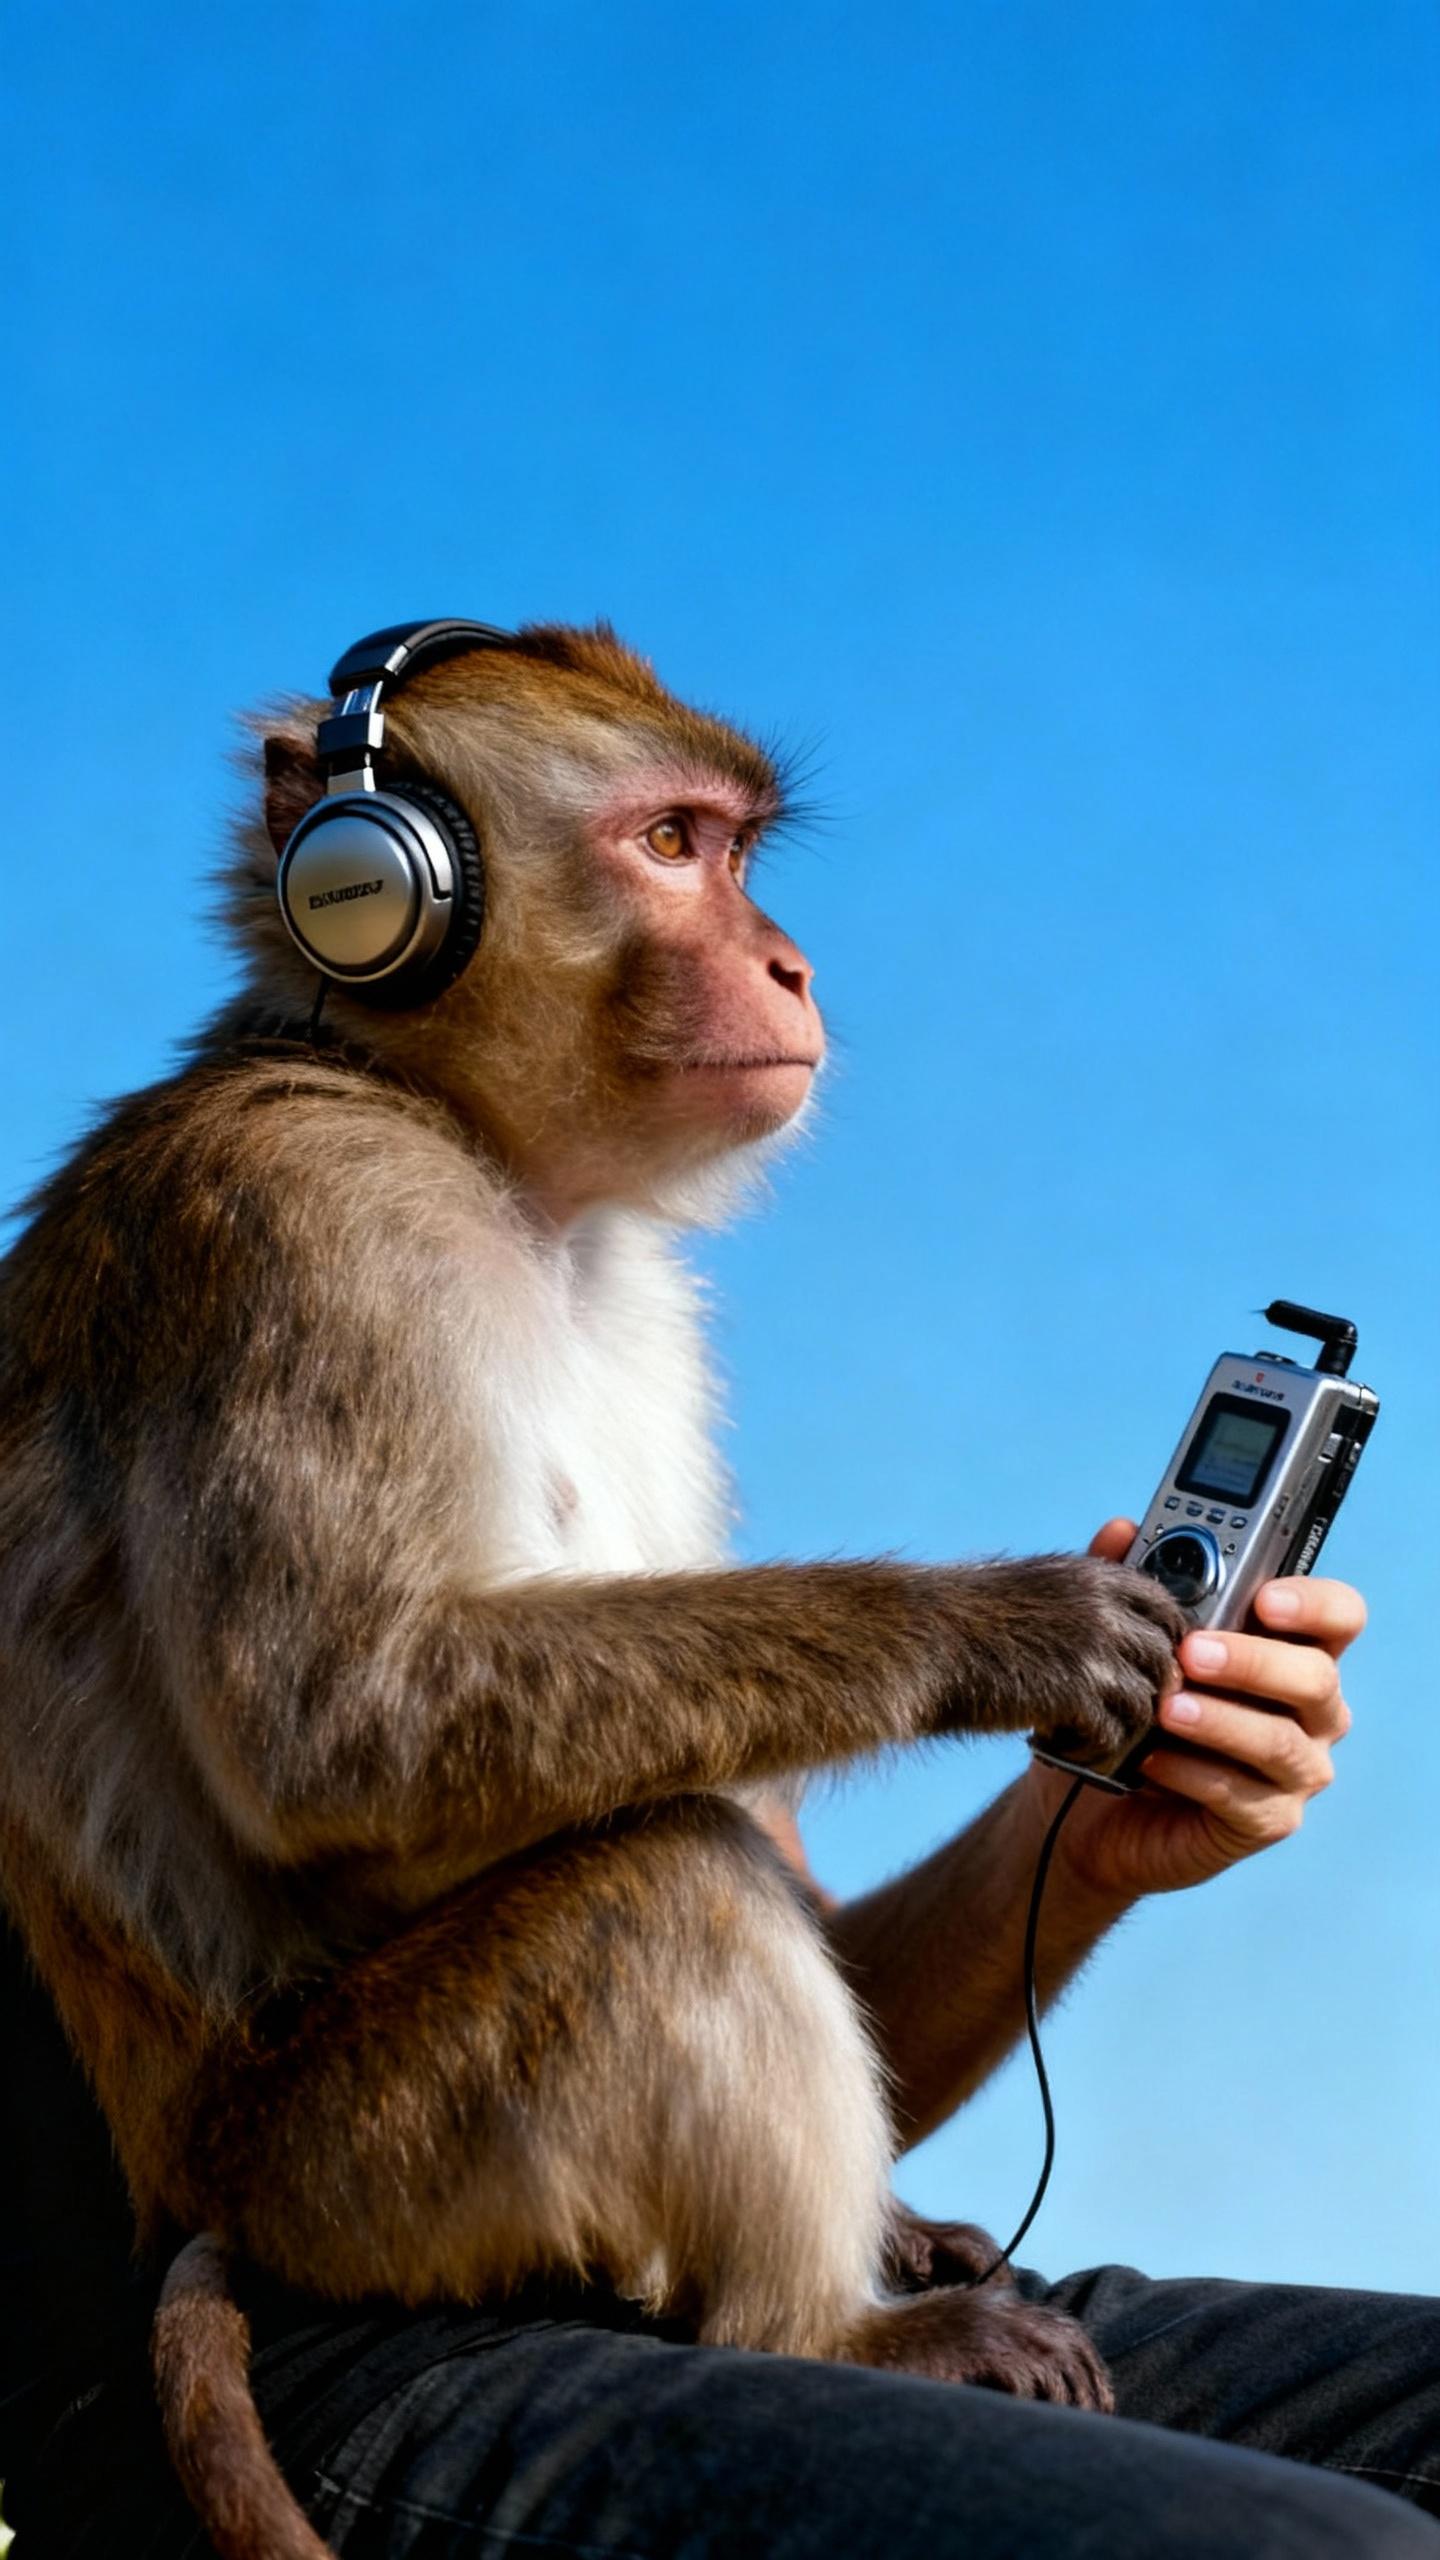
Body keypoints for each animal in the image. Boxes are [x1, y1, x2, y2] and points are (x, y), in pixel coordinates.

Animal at [0, 623, 1186, 2560]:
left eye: (739, 847)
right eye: (673, 845)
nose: (791, 965)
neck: (454, 1129)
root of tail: (213, 2194)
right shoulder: (302, 1214)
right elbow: (345, 1728)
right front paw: (1007, 1630)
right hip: (361, 2169)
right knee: (665, 1877)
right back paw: (834, 2325)